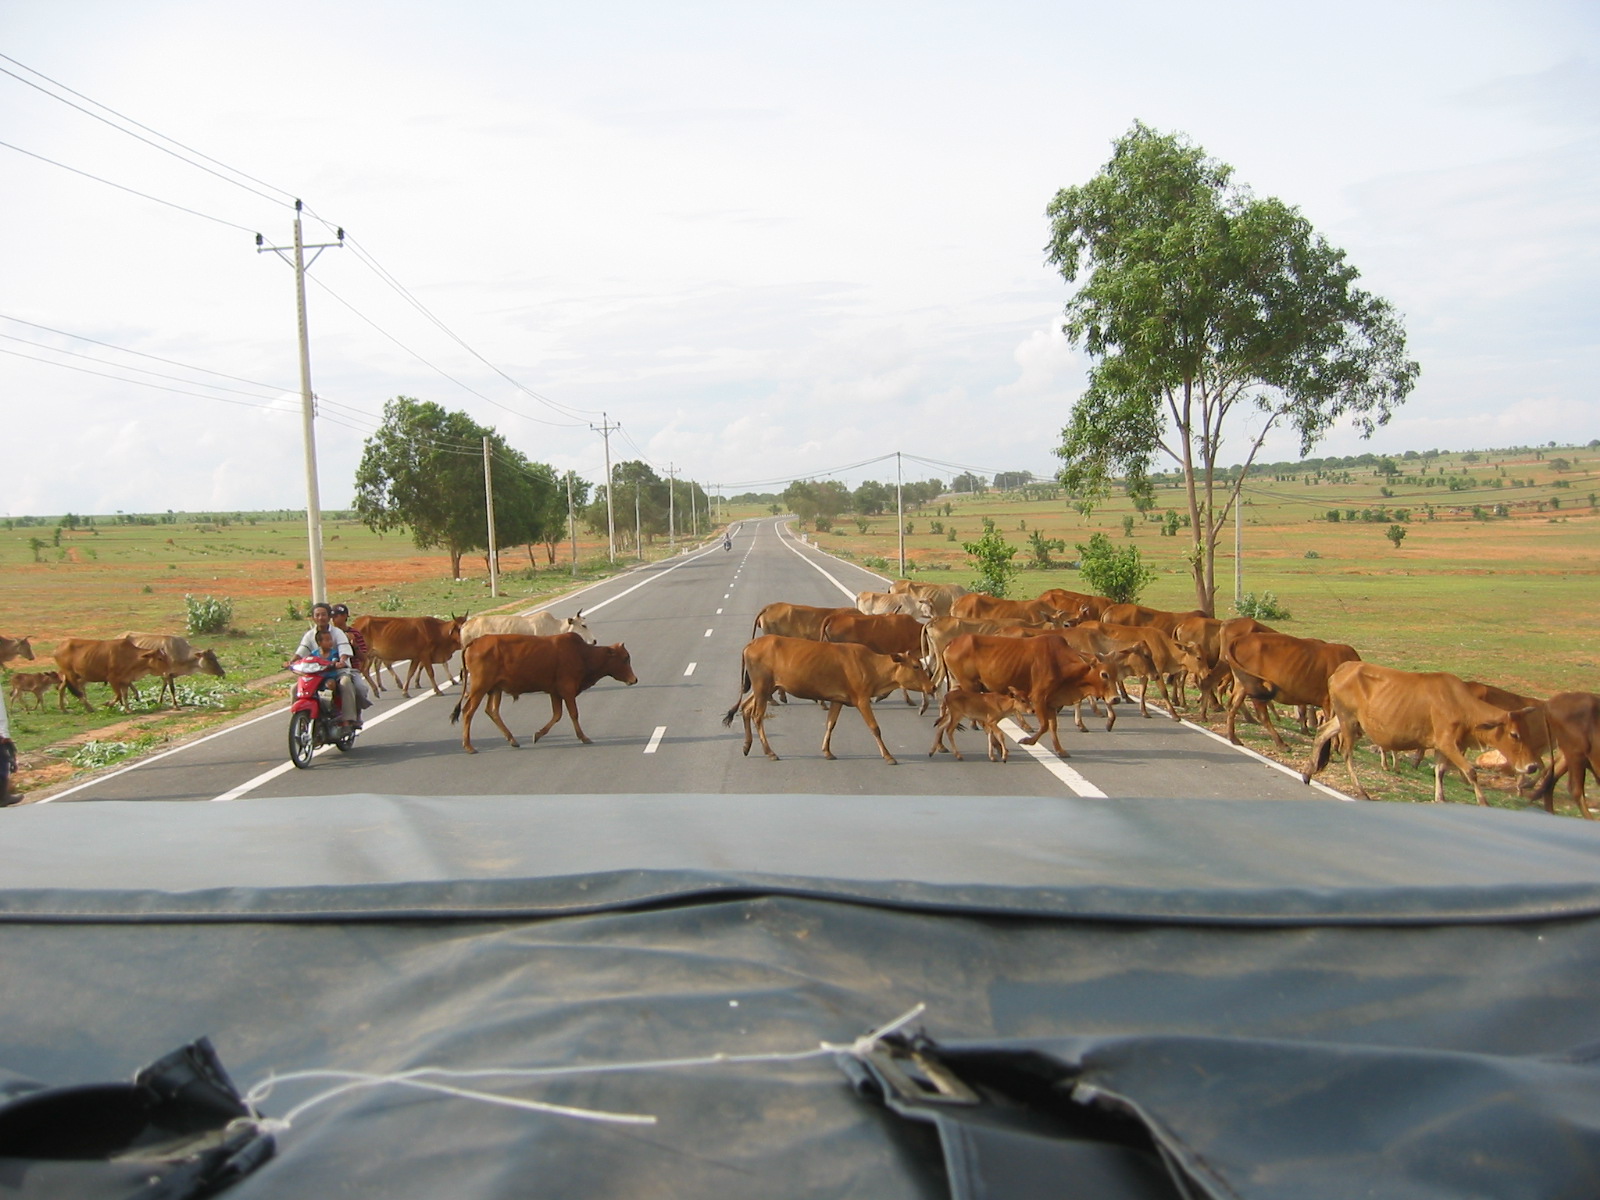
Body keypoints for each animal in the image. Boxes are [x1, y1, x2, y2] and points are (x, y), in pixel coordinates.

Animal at [449, 632, 637, 754]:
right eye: (625, 658)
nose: (634, 679)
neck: (583, 655)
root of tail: (474, 642)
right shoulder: (567, 690)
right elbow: (573, 714)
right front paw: (584, 737)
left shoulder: (555, 692)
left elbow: (557, 715)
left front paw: (537, 735)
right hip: (479, 688)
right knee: (468, 711)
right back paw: (469, 746)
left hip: (495, 689)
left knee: (492, 711)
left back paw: (512, 740)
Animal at [721, 636, 934, 765]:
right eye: (916, 666)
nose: (931, 687)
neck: (871, 666)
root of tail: (752, 644)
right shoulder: (862, 699)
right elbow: (875, 728)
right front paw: (889, 756)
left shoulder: (837, 700)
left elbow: (830, 724)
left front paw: (827, 751)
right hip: (762, 687)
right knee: (757, 716)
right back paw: (770, 752)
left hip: (765, 689)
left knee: (745, 708)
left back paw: (747, 746)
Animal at [941, 633, 1116, 758]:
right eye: (1104, 674)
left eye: (1114, 673)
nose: (1116, 698)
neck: (1060, 663)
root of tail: (952, 642)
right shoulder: (1038, 698)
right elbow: (1044, 725)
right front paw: (1028, 741)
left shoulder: (1051, 702)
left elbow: (1053, 726)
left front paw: (1060, 750)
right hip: (970, 687)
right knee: (979, 720)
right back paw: (997, 746)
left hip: (959, 685)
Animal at [1223, 632, 1362, 749]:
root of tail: (1239, 639)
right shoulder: (1328, 702)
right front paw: (1334, 746)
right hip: (1254, 686)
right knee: (1262, 716)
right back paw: (1281, 744)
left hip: (1242, 685)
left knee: (1232, 707)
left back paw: (1233, 738)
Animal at [1304, 662, 1545, 806]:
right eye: (1514, 734)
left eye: (1527, 731)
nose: (1532, 766)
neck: (1462, 706)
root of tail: (1342, 669)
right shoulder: (1448, 743)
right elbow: (1470, 771)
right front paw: (1483, 802)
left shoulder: (1441, 747)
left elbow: (1440, 771)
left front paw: (1440, 799)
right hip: (1348, 720)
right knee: (1347, 752)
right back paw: (1360, 790)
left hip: (1346, 720)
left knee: (1323, 733)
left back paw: (1308, 772)